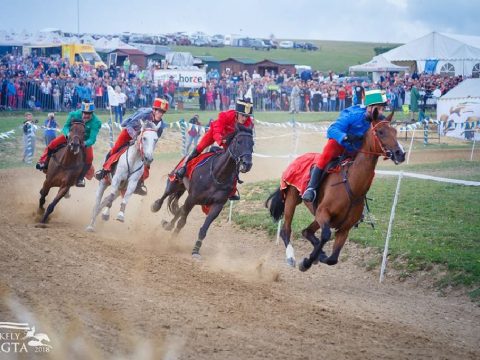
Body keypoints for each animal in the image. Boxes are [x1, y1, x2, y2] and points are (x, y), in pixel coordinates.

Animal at [151, 124, 255, 258]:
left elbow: (203, 229)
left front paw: (195, 250)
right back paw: (156, 206)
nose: (247, 164)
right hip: (176, 182)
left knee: (180, 209)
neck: (218, 175)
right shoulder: (192, 198)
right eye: (239, 141)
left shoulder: (217, 205)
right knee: (166, 194)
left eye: (252, 144)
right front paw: (172, 241)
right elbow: (182, 222)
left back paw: (168, 225)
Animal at [266, 111, 404, 272]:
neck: (352, 185)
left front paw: (318, 257)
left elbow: (333, 259)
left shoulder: (344, 228)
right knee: (286, 230)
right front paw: (307, 262)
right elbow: (326, 236)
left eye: (395, 131)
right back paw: (291, 257)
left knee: (307, 231)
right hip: (292, 200)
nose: (400, 153)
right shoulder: (322, 213)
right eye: (381, 132)